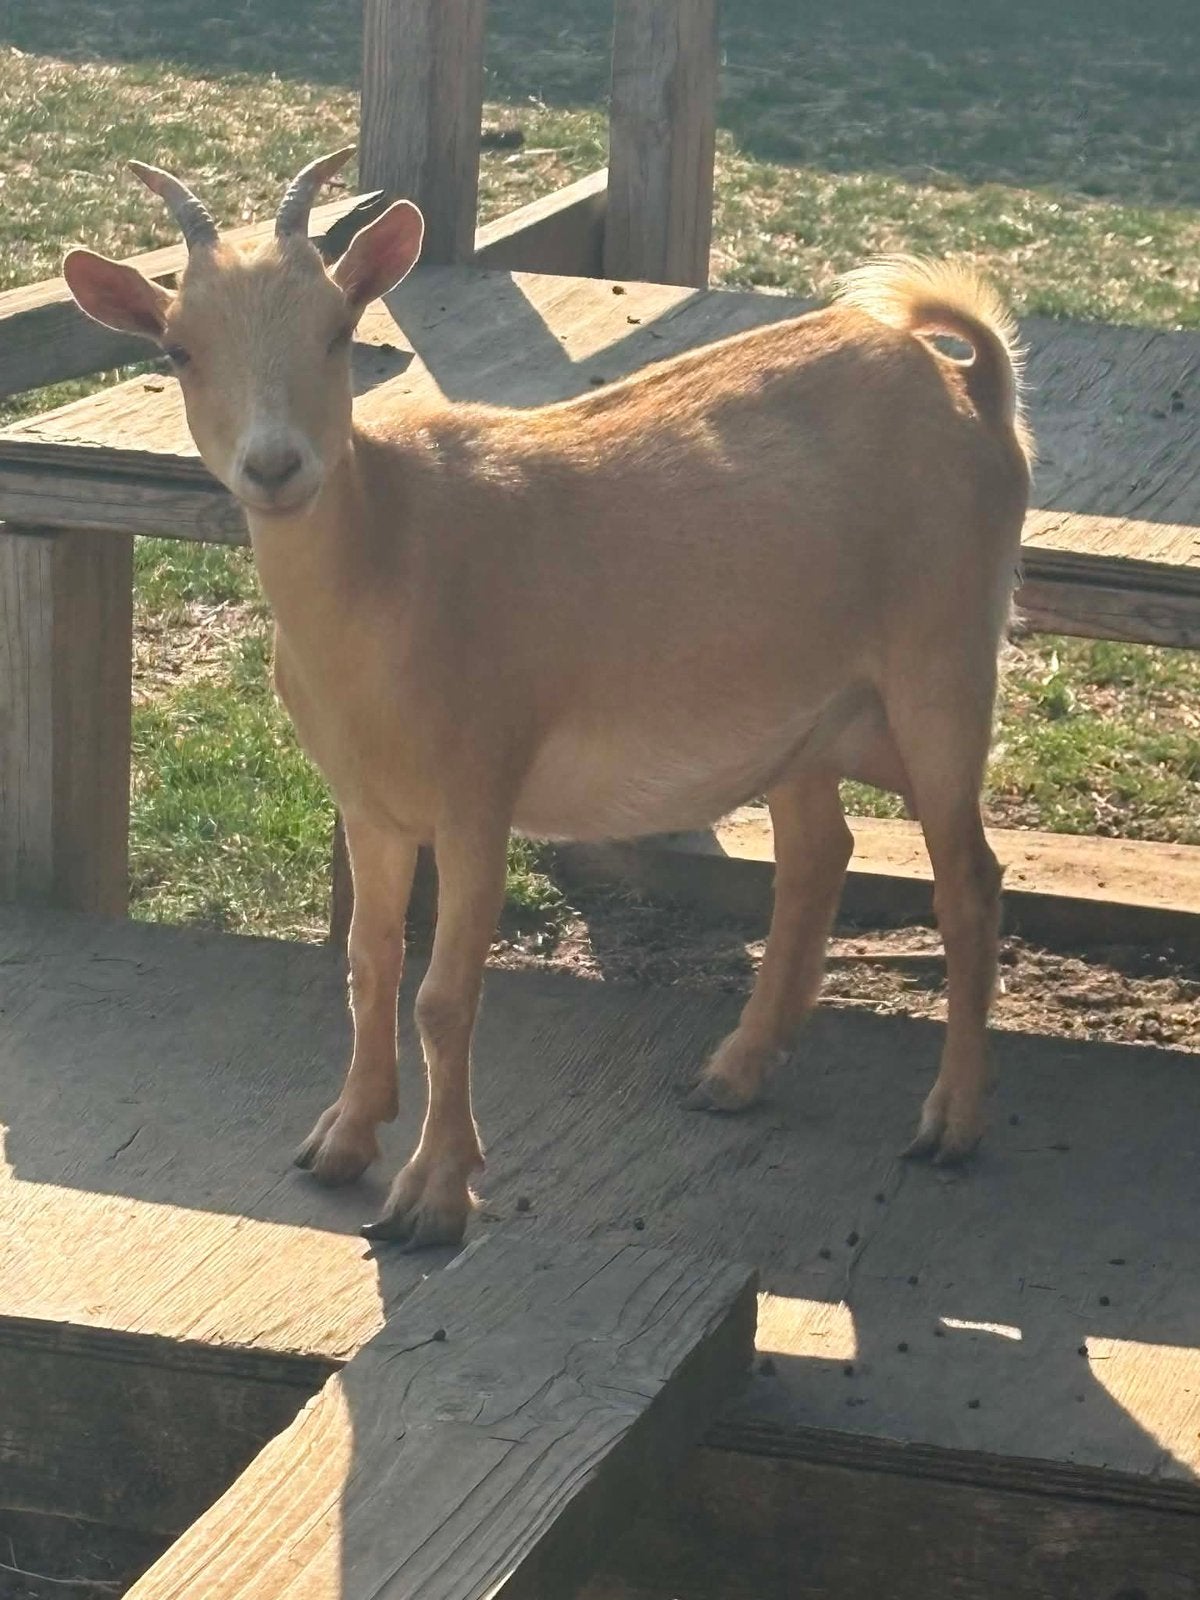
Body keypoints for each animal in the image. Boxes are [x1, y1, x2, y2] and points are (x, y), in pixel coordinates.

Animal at [64, 149, 1032, 1247]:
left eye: (339, 330)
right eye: (178, 348)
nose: (275, 467)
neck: (391, 552)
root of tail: (968, 388)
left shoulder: (480, 789)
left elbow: (446, 994)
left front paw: (433, 1194)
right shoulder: (370, 804)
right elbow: (368, 963)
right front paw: (342, 1141)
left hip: (941, 668)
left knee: (968, 880)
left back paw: (950, 1125)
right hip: (801, 715)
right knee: (819, 852)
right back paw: (735, 1073)